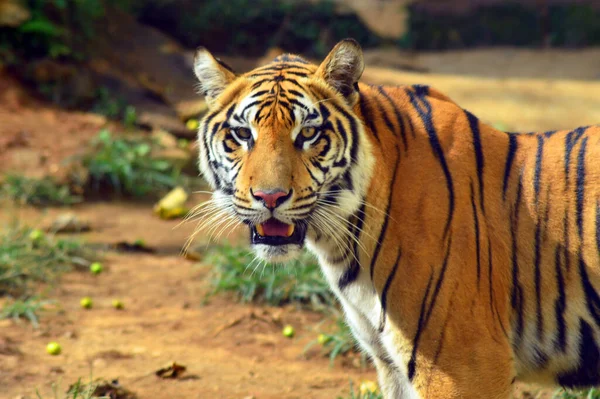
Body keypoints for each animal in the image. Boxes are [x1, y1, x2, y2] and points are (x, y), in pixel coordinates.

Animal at [191, 38, 600, 399]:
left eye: (308, 133)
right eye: (242, 134)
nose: (270, 197)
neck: (343, 241)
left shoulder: (466, 366)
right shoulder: (391, 364)